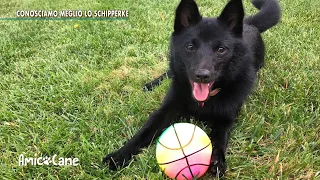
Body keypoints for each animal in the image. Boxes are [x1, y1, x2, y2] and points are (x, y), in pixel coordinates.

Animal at [104, 0, 280, 176]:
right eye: (190, 47)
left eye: (221, 49)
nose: (202, 75)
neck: (204, 101)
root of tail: (248, 24)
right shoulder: (166, 110)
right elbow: (144, 131)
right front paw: (119, 155)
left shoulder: (226, 119)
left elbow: (220, 139)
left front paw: (217, 160)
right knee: (169, 72)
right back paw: (151, 84)